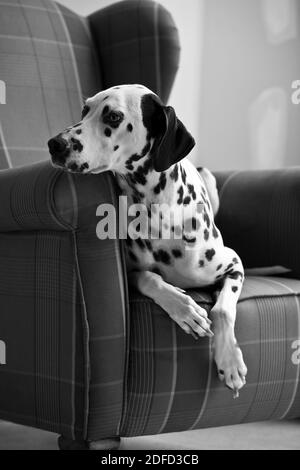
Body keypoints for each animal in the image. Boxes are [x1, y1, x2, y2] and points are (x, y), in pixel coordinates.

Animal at [48, 84, 246, 396]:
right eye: (85, 110)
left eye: (114, 116)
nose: (55, 144)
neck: (157, 212)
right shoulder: (131, 270)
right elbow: (148, 277)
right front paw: (184, 308)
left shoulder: (233, 263)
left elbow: (224, 309)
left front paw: (230, 361)